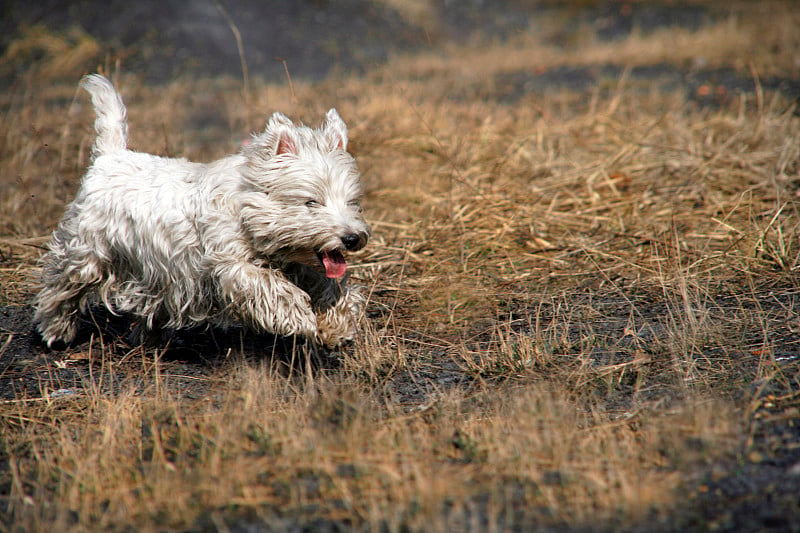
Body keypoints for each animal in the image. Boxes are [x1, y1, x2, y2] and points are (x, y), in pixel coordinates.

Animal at [32, 76, 368, 350]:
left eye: (351, 202)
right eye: (311, 202)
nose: (352, 238)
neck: (246, 210)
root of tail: (109, 156)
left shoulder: (302, 263)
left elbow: (329, 284)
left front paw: (335, 325)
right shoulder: (230, 265)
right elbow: (268, 285)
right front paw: (299, 316)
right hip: (87, 251)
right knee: (61, 286)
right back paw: (55, 330)